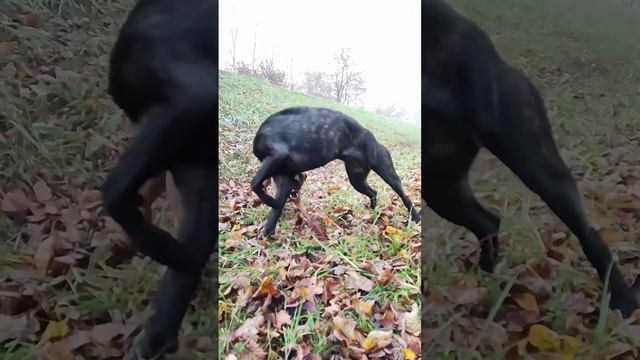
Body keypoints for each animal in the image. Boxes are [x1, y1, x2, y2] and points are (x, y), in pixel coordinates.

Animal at [252, 106, 422, 236]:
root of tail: (372, 137)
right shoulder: (284, 179)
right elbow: (274, 209)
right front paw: (267, 233)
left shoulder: (277, 156)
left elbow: (254, 183)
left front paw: (269, 202)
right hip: (357, 179)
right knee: (373, 193)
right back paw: (372, 213)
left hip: (386, 172)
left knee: (404, 196)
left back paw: (415, 218)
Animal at [422, 0, 636, 316]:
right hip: (442, 184)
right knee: (487, 223)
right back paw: (483, 287)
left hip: (537, 167)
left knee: (588, 234)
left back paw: (624, 302)